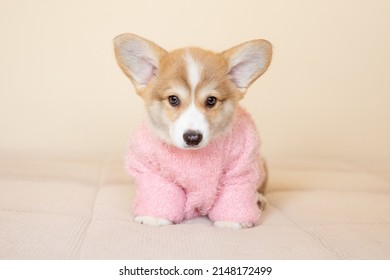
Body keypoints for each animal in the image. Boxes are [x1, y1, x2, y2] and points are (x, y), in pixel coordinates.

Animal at [112, 33, 272, 230]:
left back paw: (259, 199)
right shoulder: (153, 171)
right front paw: (154, 217)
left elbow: (235, 195)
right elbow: (159, 195)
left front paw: (231, 221)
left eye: (211, 100)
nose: (193, 137)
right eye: (173, 99)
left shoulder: (240, 168)